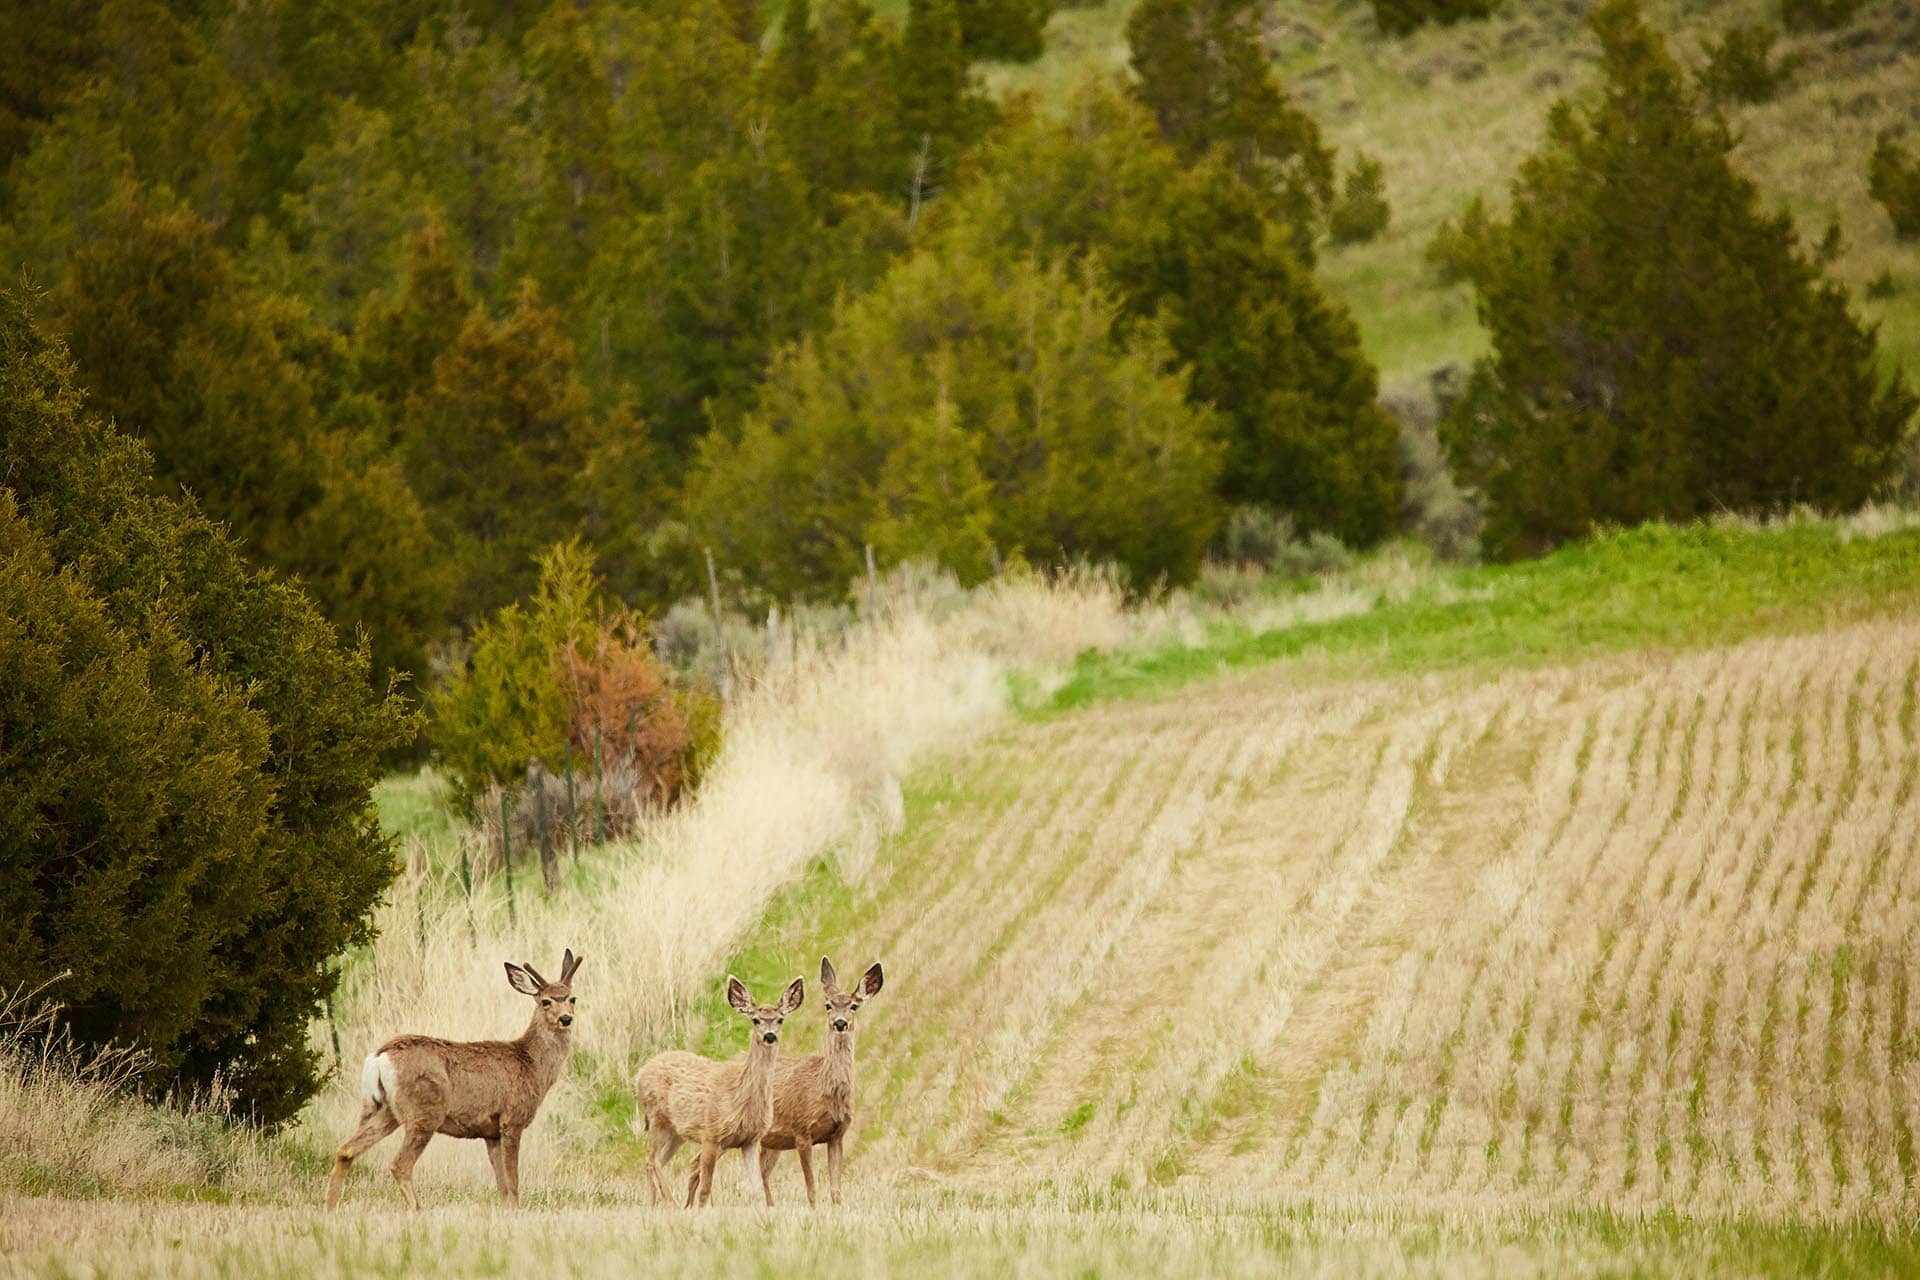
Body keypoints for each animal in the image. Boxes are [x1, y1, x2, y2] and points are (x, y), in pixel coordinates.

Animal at [324, 949, 582, 1211]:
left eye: (572, 998)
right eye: (546, 1001)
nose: (566, 1019)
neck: (532, 1065)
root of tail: (379, 1057)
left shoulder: (491, 1132)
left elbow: (502, 1186)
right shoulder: (512, 1119)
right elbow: (513, 1182)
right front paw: (516, 1212)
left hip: (382, 1109)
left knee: (346, 1150)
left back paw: (330, 1207)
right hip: (424, 1111)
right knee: (399, 1165)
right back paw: (418, 1209)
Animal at [635, 973, 804, 1208]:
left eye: (780, 1019)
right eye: (755, 1020)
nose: (769, 1036)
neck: (740, 1096)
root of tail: (640, 1074)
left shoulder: (751, 1140)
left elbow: (758, 1189)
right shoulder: (710, 1134)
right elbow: (705, 1189)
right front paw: (699, 1210)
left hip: (676, 1131)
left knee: (654, 1160)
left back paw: (653, 1204)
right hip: (657, 1117)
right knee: (652, 1159)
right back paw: (672, 1203)